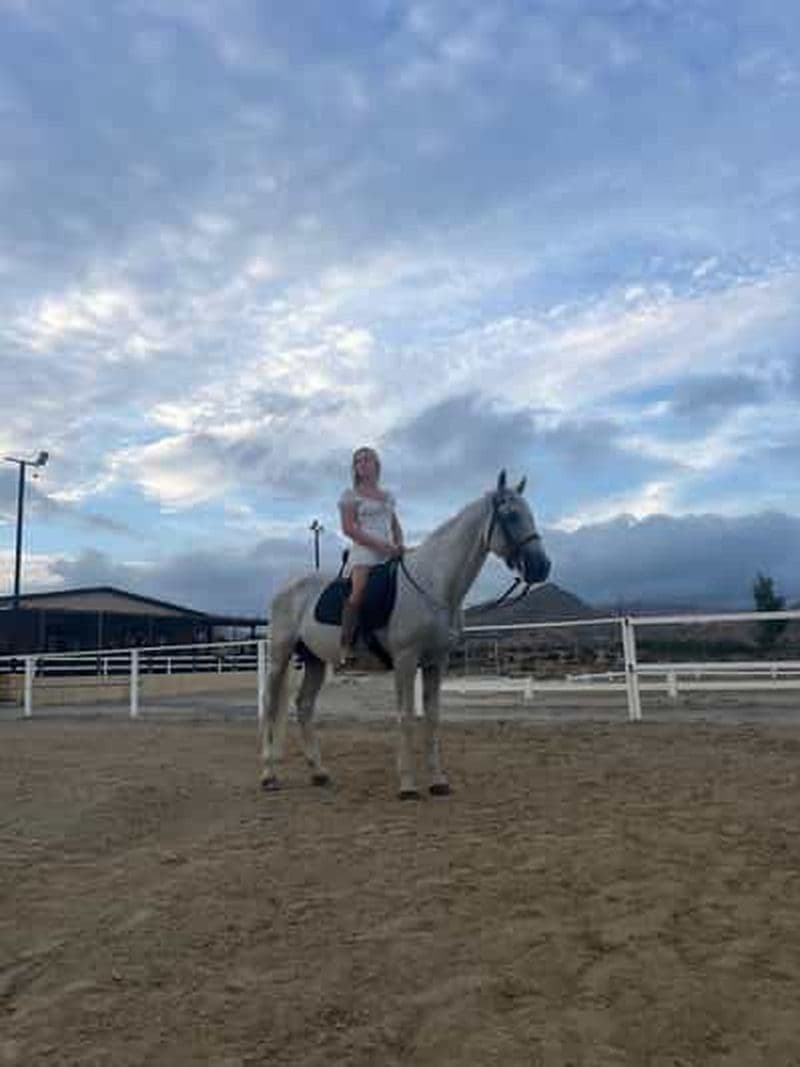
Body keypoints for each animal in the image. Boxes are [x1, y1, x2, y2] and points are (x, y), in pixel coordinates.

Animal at [260, 470, 551, 799]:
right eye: (511, 515)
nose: (542, 567)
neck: (433, 584)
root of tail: (287, 588)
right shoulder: (406, 660)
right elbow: (406, 717)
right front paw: (408, 785)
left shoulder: (436, 662)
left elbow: (432, 720)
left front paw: (438, 781)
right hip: (280, 656)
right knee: (270, 706)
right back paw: (269, 776)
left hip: (315, 661)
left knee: (304, 706)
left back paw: (319, 772)